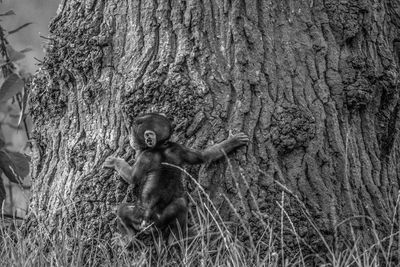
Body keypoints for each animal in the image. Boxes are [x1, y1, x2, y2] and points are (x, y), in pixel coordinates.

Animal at [104, 113, 247, 239]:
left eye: (133, 133)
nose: (131, 140)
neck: (161, 146)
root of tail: (151, 221)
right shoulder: (179, 148)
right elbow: (204, 156)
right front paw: (234, 141)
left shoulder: (146, 155)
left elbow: (132, 177)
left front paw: (114, 162)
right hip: (163, 217)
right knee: (181, 205)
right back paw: (178, 239)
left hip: (138, 215)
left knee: (122, 210)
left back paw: (127, 239)